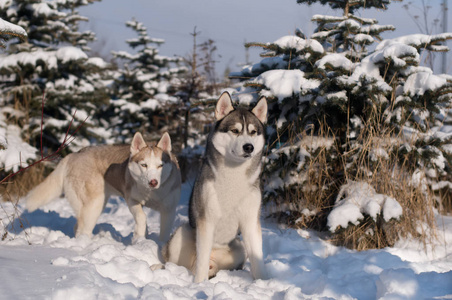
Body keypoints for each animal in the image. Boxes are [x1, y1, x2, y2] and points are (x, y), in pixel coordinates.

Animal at [25, 132, 181, 243]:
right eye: (144, 165)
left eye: (160, 166)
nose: (153, 182)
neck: (152, 194)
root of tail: (73, 155)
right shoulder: (131, 200)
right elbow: (141, 217)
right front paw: (140, 236)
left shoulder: (168, 210)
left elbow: (163, 232)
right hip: (95, 204)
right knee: (83, 229)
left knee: (78, 226)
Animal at [162, 91, 268, 282]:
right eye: (235, 130)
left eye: (253, 132)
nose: (248, 147)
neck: (234, 175)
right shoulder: (206, 220)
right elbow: (202, 260)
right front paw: (199, 284)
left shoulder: (250, 220)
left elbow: (258, 258)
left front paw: (263, 282)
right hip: (181, 235)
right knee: (189, 262)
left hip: (239, 248)